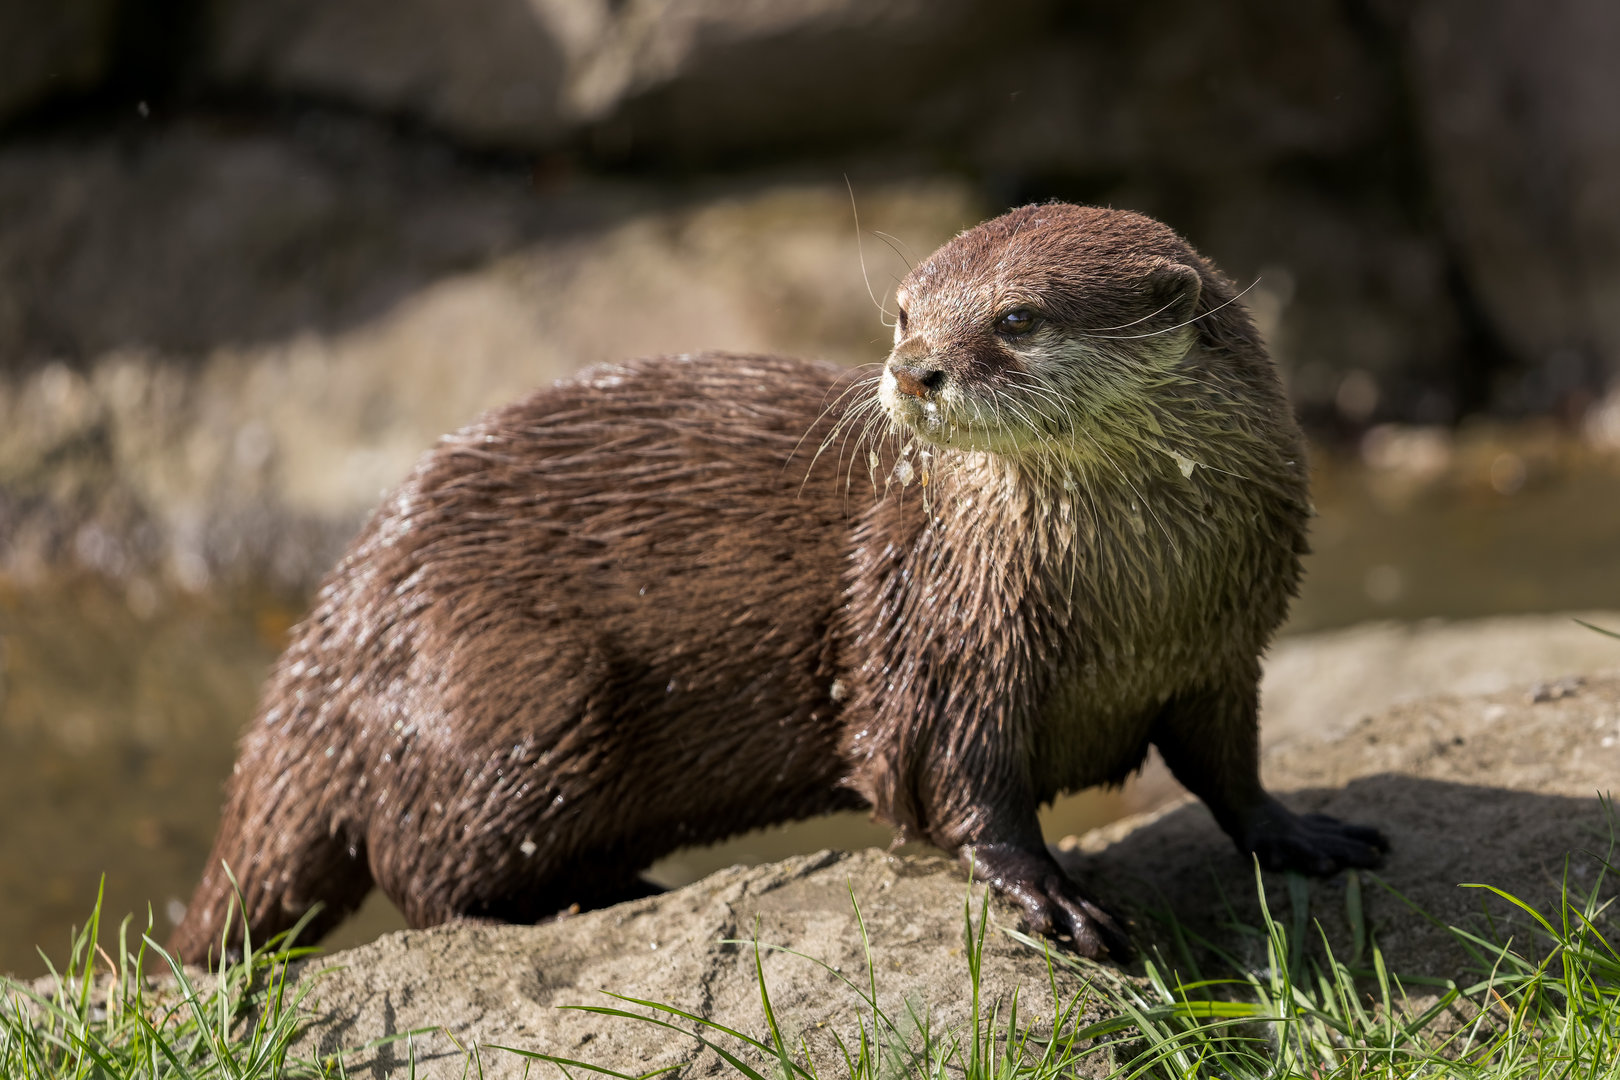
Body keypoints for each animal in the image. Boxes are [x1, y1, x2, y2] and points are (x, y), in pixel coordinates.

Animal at [172, 204, 1385, 964]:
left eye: (1018, 318)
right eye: (903, 310)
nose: (914, 370)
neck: (1140, 606)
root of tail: (331, 627)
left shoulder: (1225, 653)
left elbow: (1230, 769)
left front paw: (1307, 834)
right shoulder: (947, 646)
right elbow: (959, 788)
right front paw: (1054, 895)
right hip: (526, 693)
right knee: (424, 876)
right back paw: (619, 897)